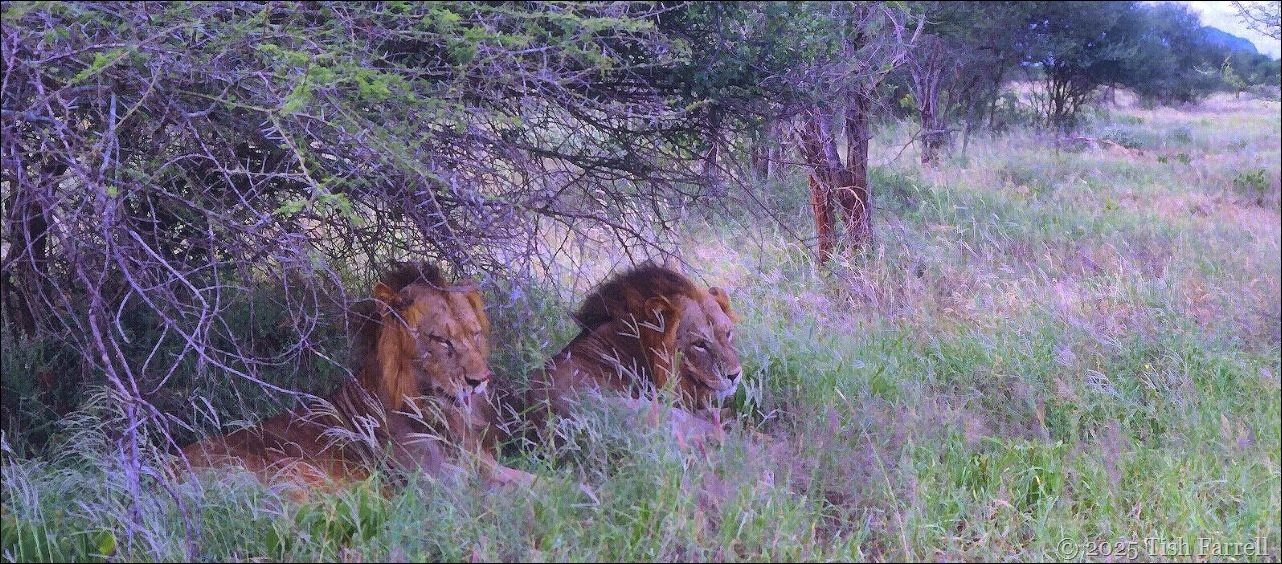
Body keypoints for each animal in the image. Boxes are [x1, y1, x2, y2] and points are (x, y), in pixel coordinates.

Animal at [180, 262, 532, 493]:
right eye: (441, 340)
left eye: (474, 334)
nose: (480, 379)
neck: (442, 416)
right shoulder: (444, 489)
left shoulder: (486, 465)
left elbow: (540, 482)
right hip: (297, 473)